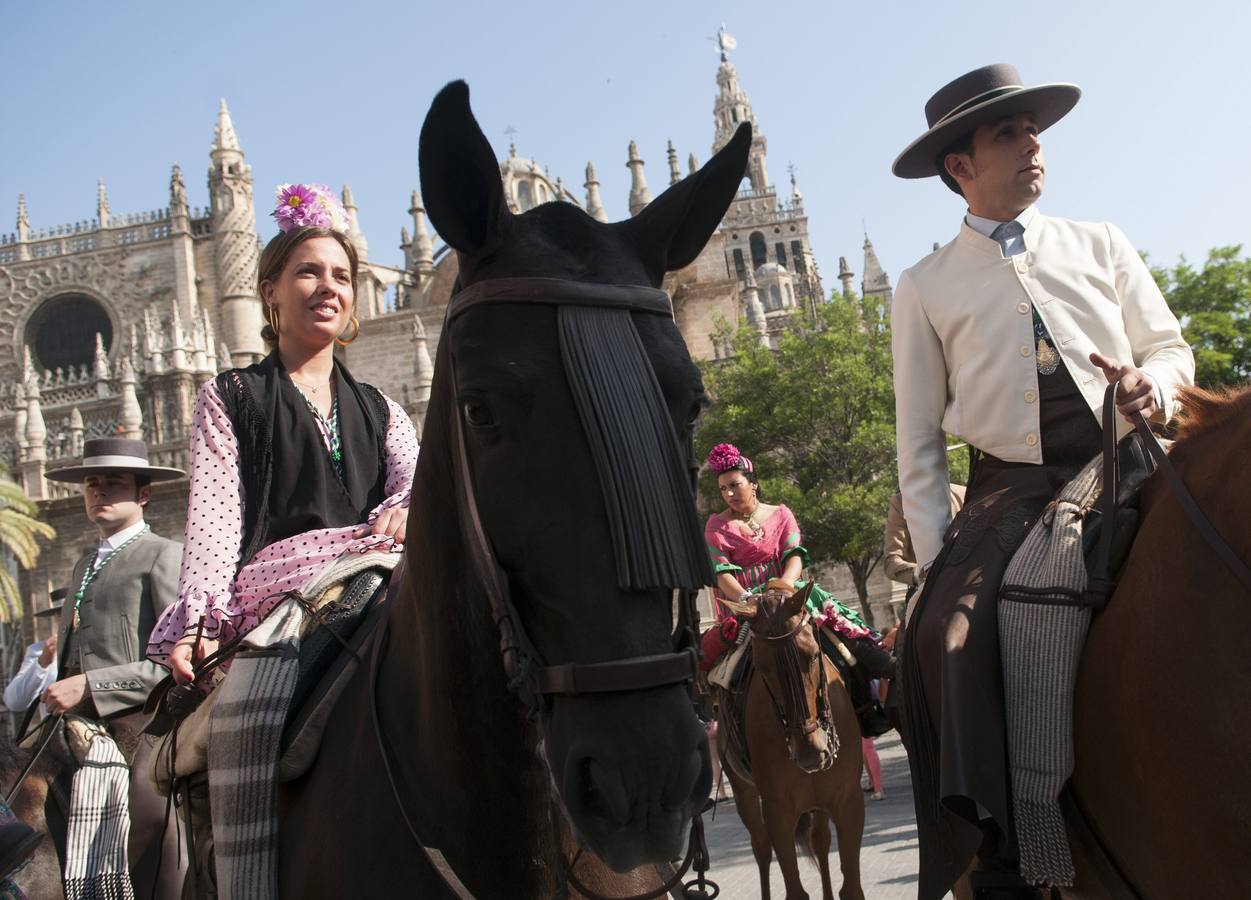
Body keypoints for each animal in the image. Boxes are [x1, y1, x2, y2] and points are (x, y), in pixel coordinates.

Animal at [720, 583, 865, 900]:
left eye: (811, 655)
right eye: (761, 668)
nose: (810, 753)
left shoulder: (848, 801)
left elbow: (851, 887)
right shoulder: (778, 813)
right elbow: (795, 889)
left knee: (820, 841)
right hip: (743, 793)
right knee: (761, 849)